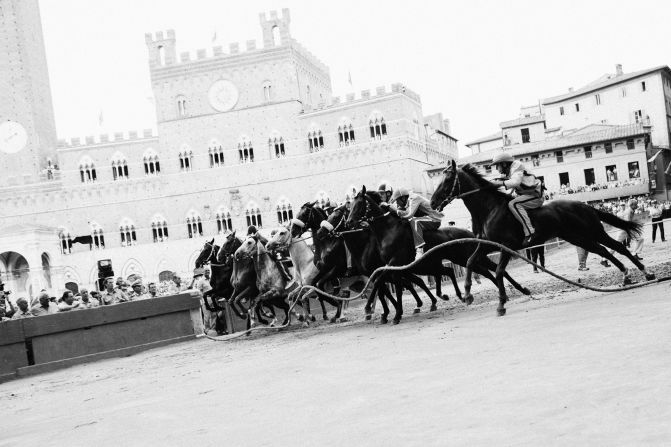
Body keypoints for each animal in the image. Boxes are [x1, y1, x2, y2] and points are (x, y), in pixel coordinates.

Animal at [430, 159, 656, 316]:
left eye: (447, 180)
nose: (432, 202)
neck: (489, 209)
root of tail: (585, 205)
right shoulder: (487, 245)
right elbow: (470, 261)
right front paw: (468, 294)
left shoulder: (506, 246)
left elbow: (500, 271)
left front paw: (501, 303)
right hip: (579, 238)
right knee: (603, 251)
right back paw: (626, 275)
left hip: (593, 231)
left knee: (619, 247)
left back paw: (646, 273)